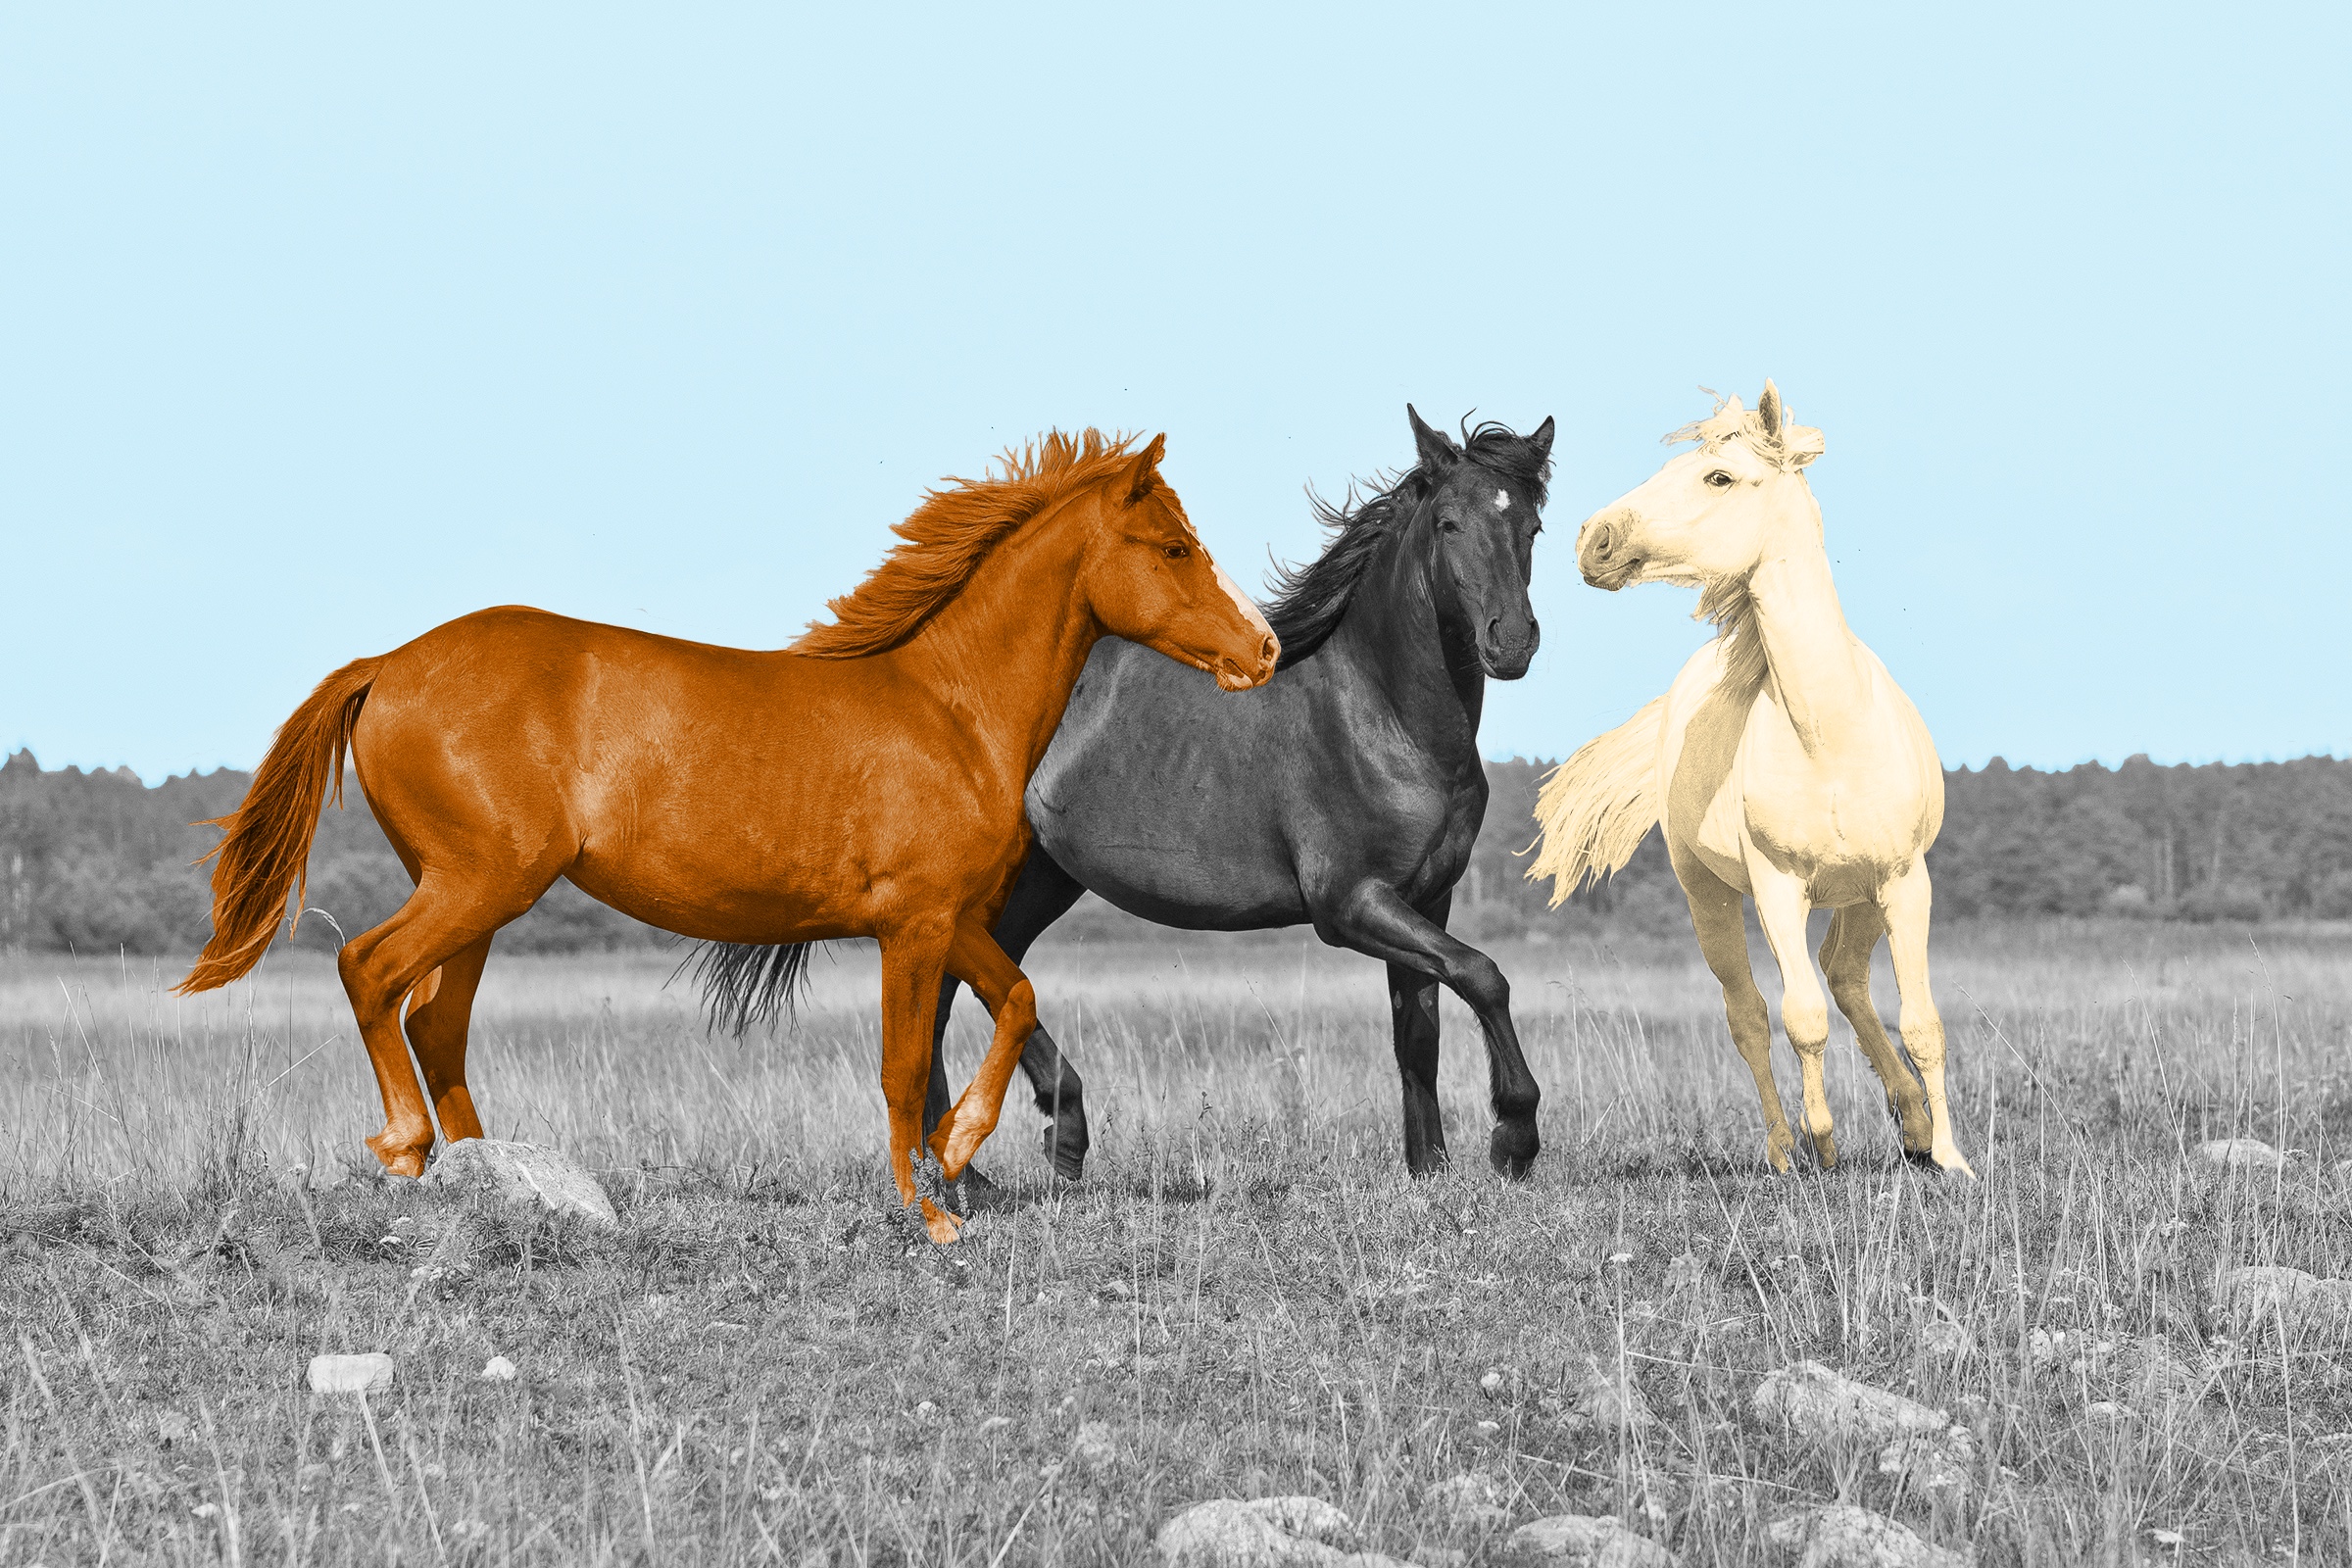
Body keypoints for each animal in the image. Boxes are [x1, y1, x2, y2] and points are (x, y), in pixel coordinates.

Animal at [175, 429, 1281, 1243]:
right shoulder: (914, 926)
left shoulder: (949, 917)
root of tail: (387, 664)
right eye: (1175, 547)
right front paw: (929, 1209)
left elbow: (1014, 999)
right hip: (477, 884)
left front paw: (965, 1149)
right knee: (371, 970)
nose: (1264, 648)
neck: (950, 711)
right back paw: (409, 1149)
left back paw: (497, 1182)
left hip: (478, 899)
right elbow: (901, 1063)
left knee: (435, 1022)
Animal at [708, 406, 1555, 1181]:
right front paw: (1513, 1139)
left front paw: (1430, 1169)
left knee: (960, 990)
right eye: (1447, 522)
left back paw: (976, 1158)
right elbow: (1485, 976)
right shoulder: (1349, 904)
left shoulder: (1426, 897)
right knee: (958, 991)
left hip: (1037, 882)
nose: (1511, 642)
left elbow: (1421, 1031)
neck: (1381, 715)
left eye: (1533, 525)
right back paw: (1023, 1143)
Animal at [1528, 384, 1973, 1178]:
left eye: (1719, 477)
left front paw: (1952, 1158)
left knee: (1846, 977)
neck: (1830, 735)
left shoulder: (1905, 880)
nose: (1593, 539)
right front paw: (1823, 1139)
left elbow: (1922, 1022)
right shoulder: (1777, 886)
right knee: (1752, 1014)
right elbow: (1801, 1017)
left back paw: (1914, 1125)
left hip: (1864, 895)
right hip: (1708, 896)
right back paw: (1785, 1149)